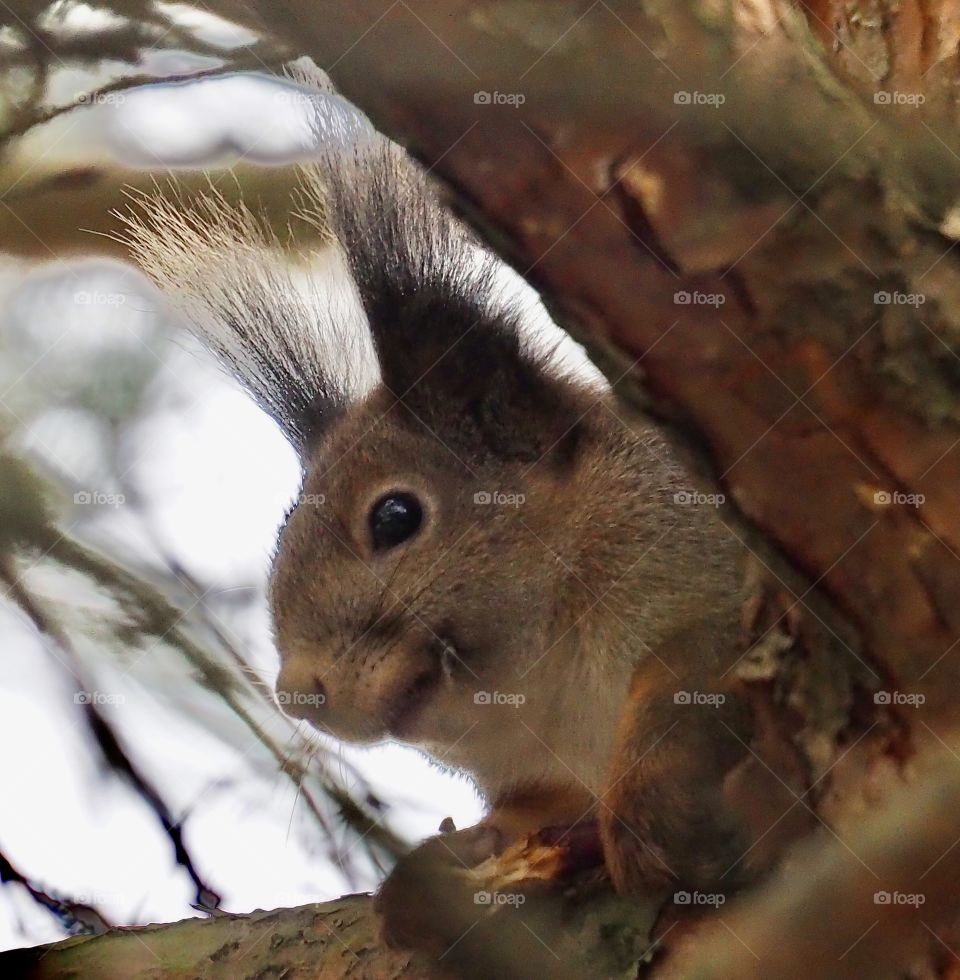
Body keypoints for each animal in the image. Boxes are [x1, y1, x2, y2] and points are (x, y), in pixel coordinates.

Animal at [122, 87, 802, 963]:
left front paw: (656, 820)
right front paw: (439, 875)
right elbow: (529, 816)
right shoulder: (538, 775)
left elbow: (689, 681)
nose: (297, 692)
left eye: (396, 515)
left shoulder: (714, 580)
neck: (547, 691)